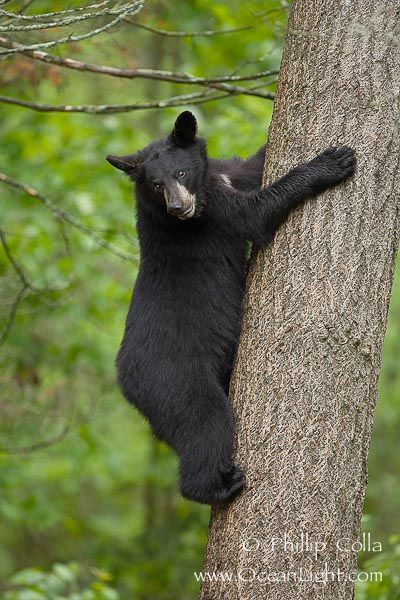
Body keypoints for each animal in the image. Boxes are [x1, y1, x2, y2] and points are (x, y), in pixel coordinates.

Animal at [106, 110, 356, 504]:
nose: (179, 208)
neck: (203, 194)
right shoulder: (214, 218)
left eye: (180, 174)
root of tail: (124, 381)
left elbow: (252, 166)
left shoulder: (225, 176)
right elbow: (256, 213)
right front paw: (331, 162)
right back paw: (219, 485)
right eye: (157, 185)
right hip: (174, 379)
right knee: (205, 423)